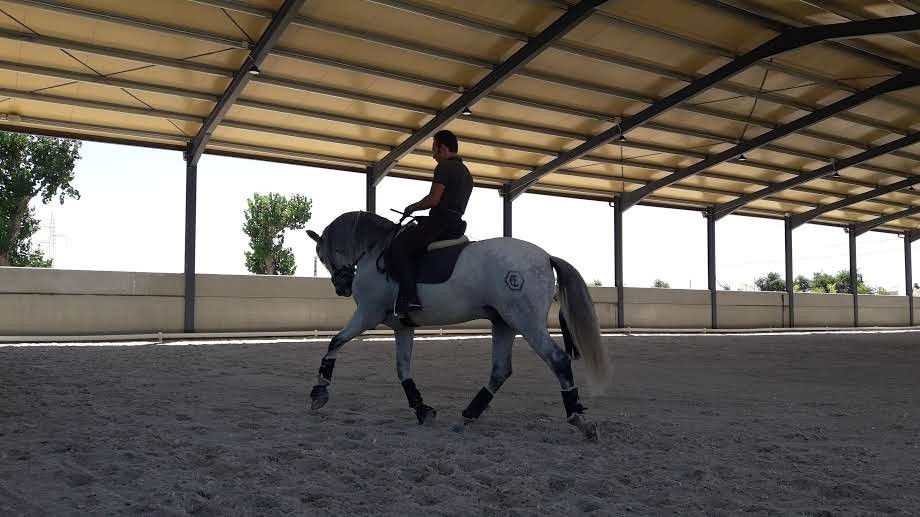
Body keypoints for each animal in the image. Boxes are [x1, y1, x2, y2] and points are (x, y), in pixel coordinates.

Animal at [305, 211, 611, 439]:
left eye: (321, 254)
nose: (342, 287)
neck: (375, 251)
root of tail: (546, 257)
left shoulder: (367, 314)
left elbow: (335, 341)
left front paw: (319, 393)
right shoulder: (402, 326)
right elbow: (402, 370)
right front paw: (422, 410)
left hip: (525, 321)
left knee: (557, 360)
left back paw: (580, 420)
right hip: (504, 323)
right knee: (500, 370)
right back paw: (467, 417)